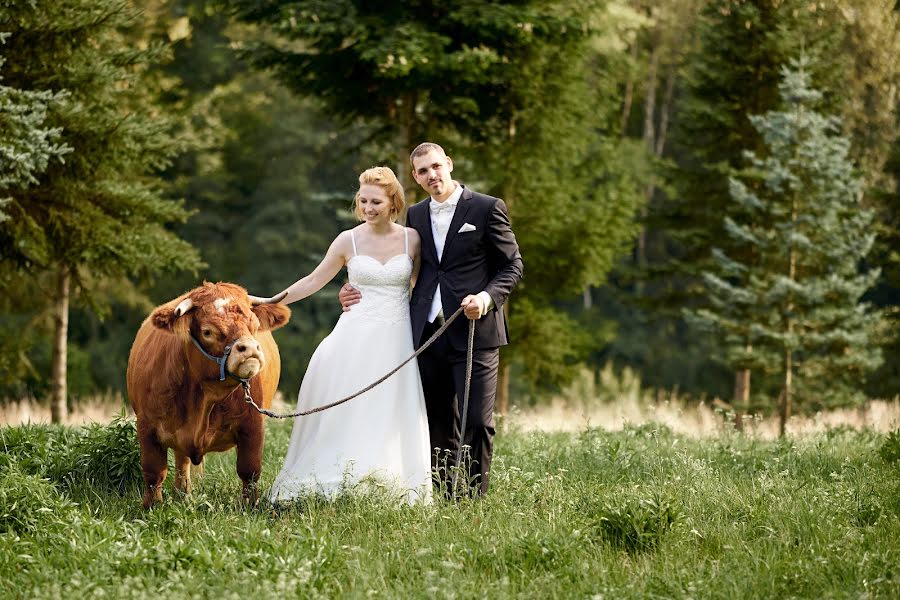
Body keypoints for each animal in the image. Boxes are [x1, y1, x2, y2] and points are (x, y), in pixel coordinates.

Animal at [125, 282, 288, 506]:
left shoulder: (253, 426)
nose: (250, 349)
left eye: (254, 326)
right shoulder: (146, 427)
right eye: (208, 331)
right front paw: (152, 506)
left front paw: (251, 506)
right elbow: (154, 472)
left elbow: (250, 470)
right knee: (182, 462)